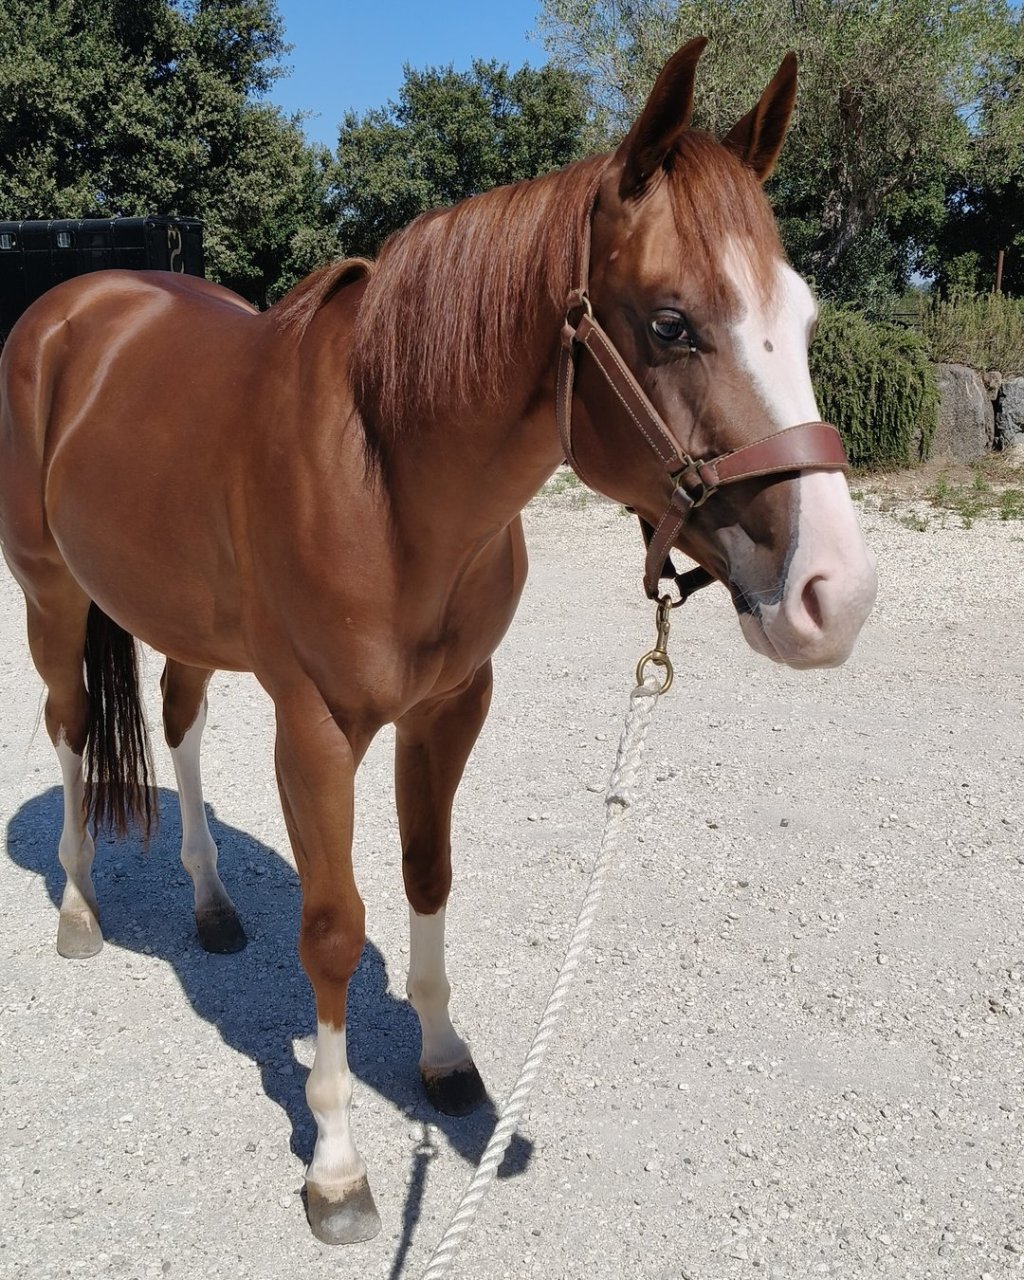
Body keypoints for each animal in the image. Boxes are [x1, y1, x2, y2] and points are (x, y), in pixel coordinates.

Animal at [0, 39, 876, 1244]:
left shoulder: (451, 707)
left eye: (803, 316)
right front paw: (336, 1167)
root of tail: (75, 304)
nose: (833, 594)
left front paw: (446, 1060)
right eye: (669, 322)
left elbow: (428, 873)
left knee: (178, 722)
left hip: (186, 623)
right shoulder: (317, 729)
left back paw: (212, 905)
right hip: (50, 595)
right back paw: (82, 908)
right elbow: (332, 925)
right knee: (72, 728)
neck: (386, 470)